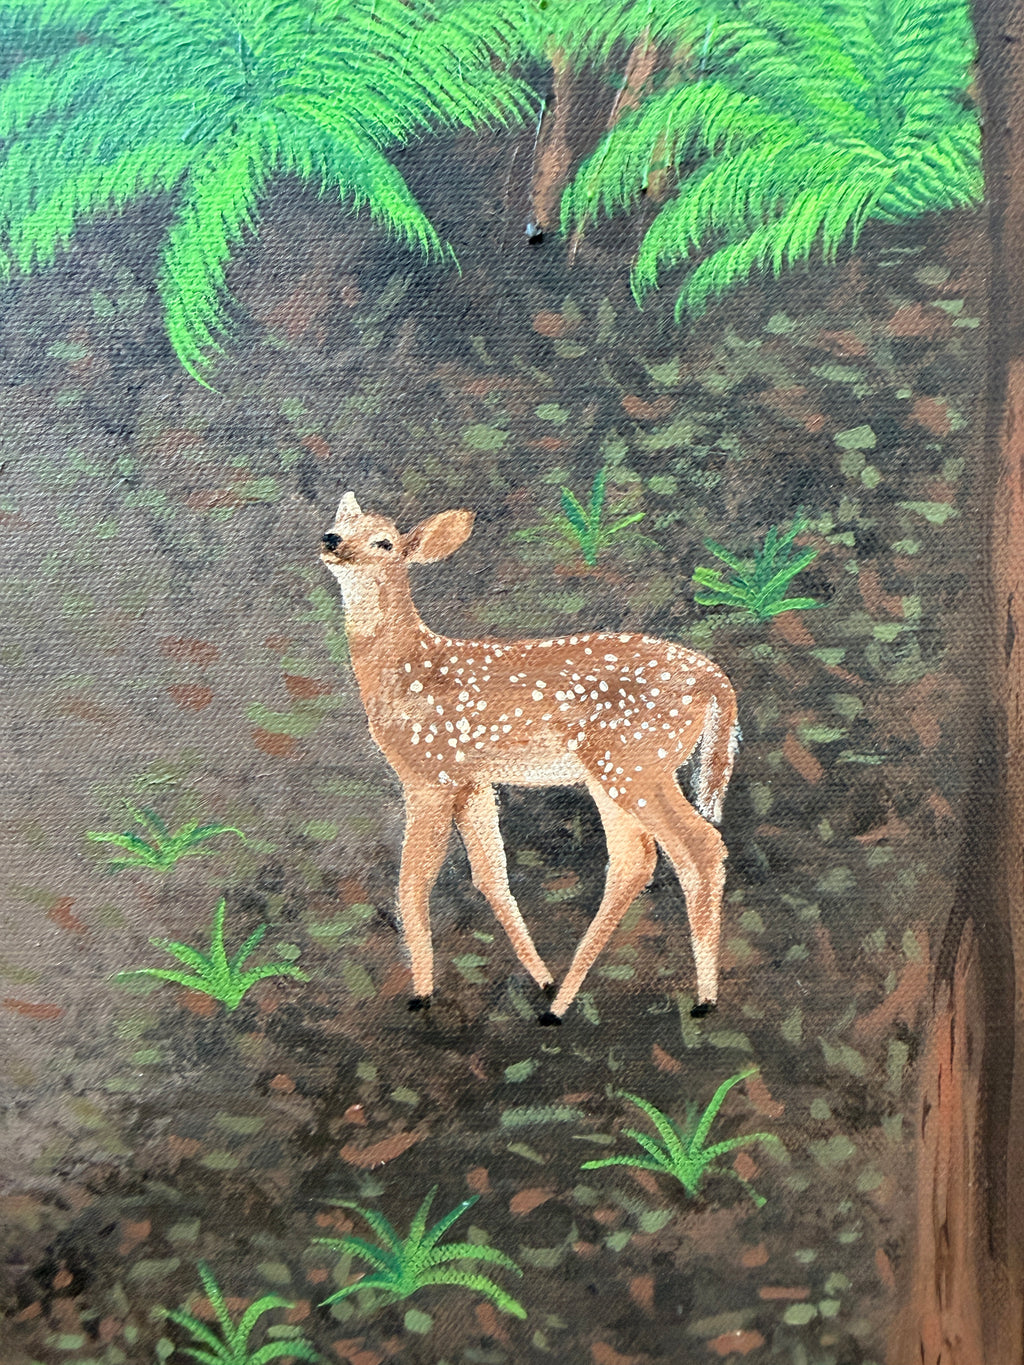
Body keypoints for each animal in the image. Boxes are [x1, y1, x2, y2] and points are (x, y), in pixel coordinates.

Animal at [320, 491, 739, 1024]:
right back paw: (558, 1003)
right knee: (635, 861)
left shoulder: (430, 772)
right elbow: (490, 874)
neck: (407, 670)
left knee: (699, 848)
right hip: (614, 772)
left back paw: (703, 1000)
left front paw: (421, 993)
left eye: (384, 541)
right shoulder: (473, 780)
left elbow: (413, 883)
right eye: (339, 524)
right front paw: (540, 978)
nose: (331, 540)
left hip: (637, 761)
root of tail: (715, 681)